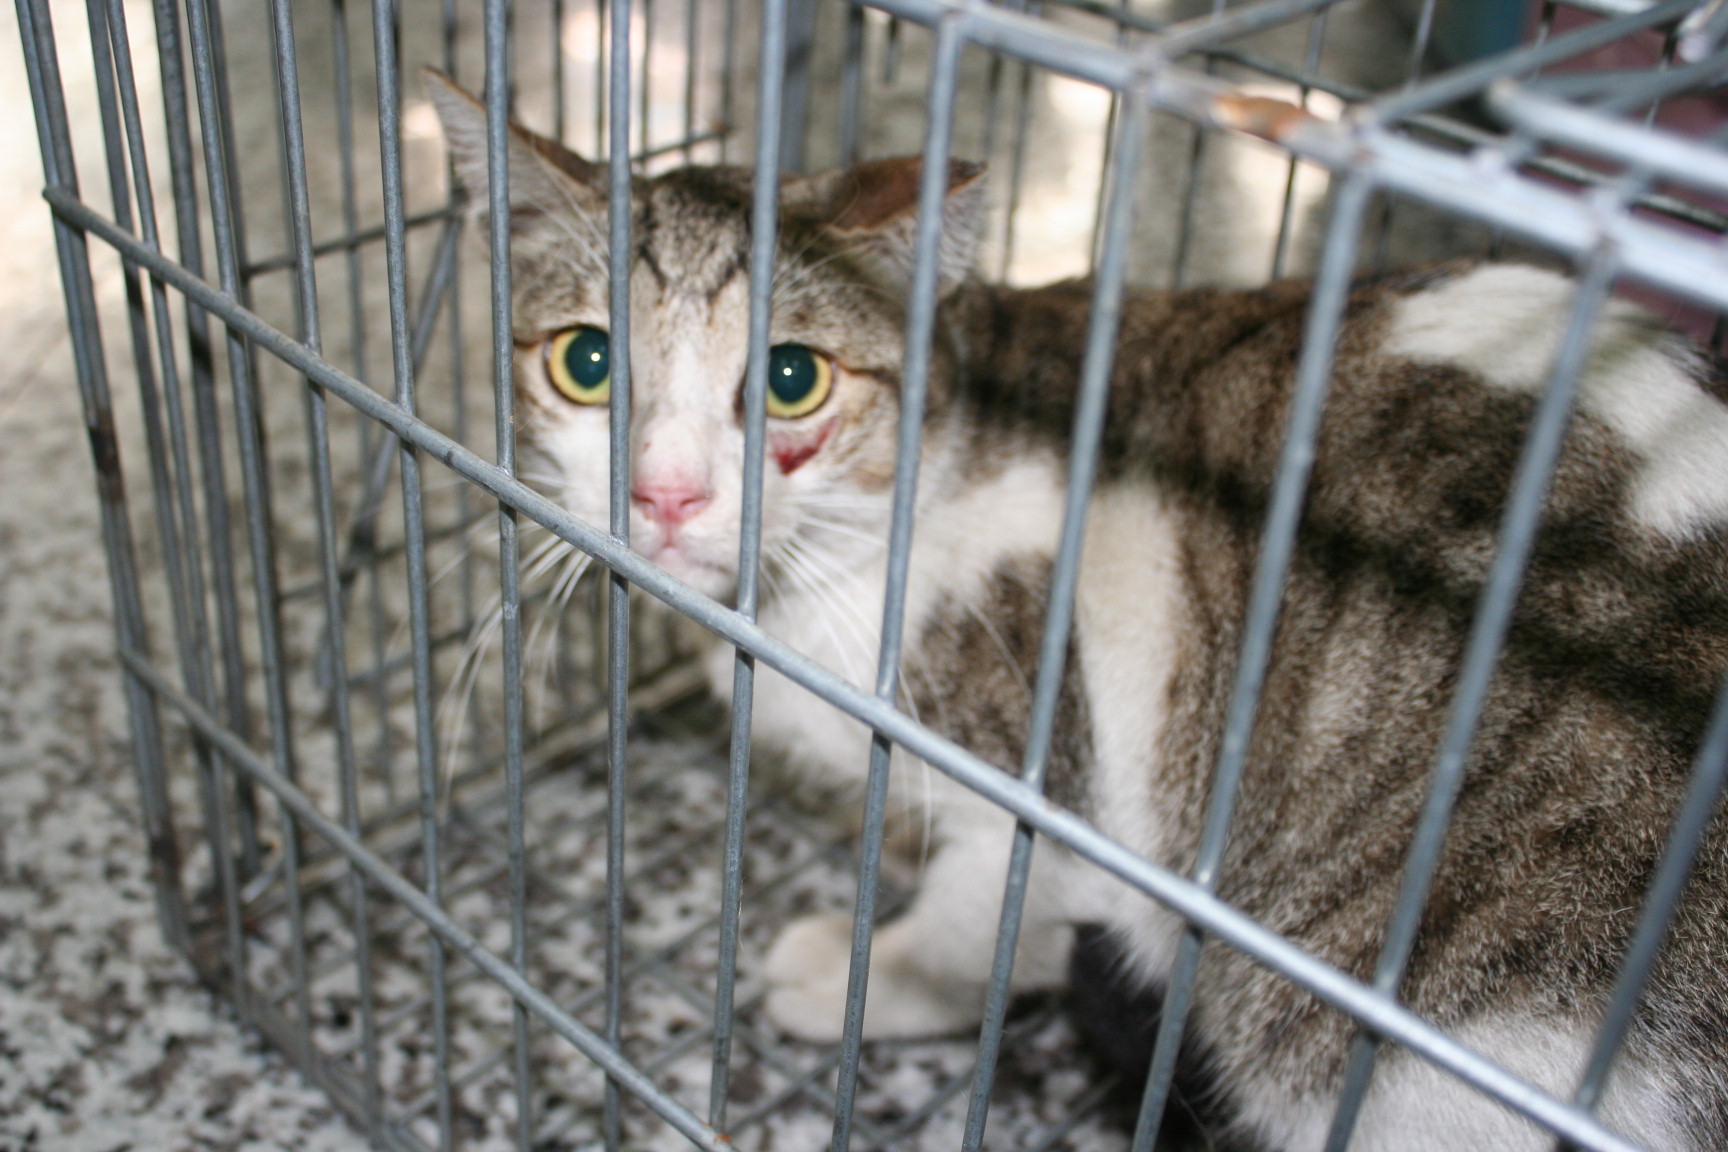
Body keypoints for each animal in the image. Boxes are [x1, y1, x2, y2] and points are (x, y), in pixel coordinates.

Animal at [429, 74, 1728, 1152]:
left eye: (793, 379)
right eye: (587, 363)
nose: (666, 493)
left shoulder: (1049, 788)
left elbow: (973, 925)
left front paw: (870, 977)